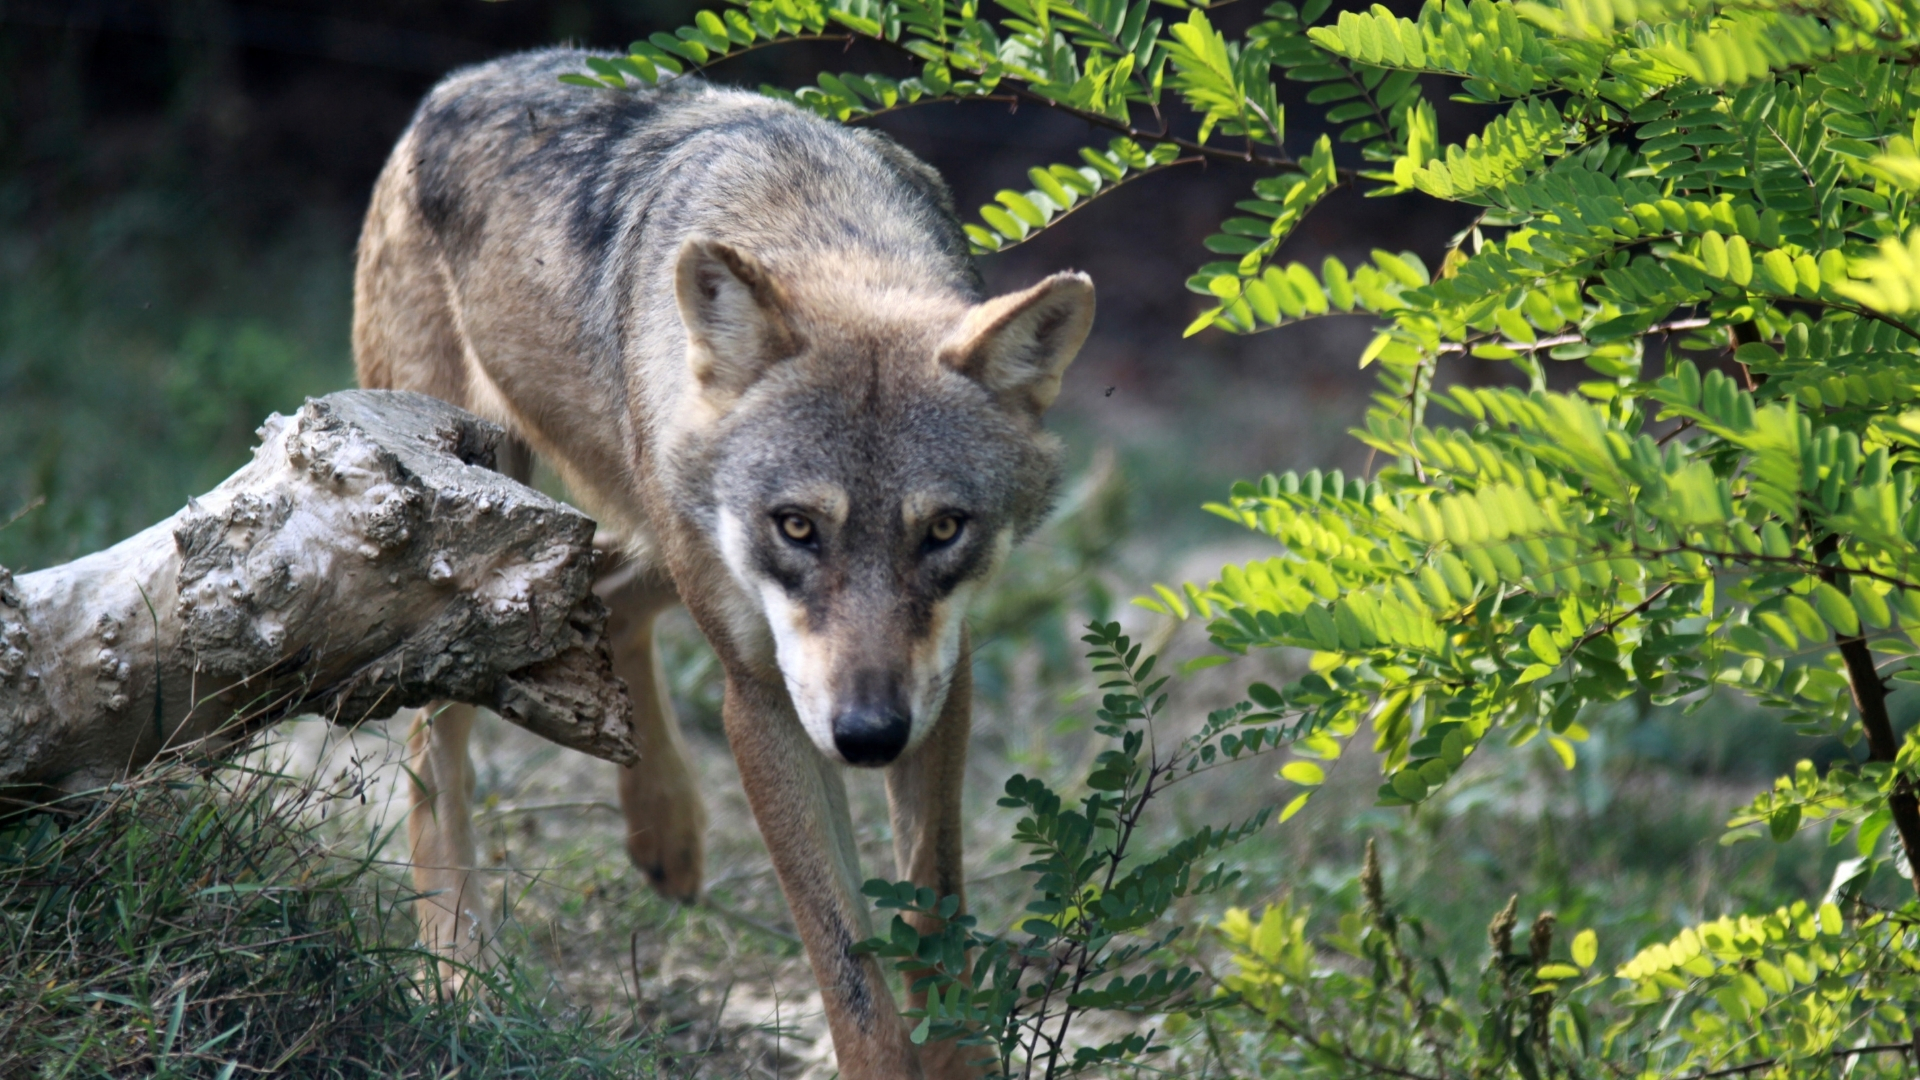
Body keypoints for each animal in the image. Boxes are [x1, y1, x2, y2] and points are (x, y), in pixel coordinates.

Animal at [353, 48, 1093, 1079]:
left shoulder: (944, 682)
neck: (815, 224)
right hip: (478, 524)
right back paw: (456, 968)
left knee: (614, 604)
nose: (869, 736)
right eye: (798, 527)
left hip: (661, 534)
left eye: (944, 530)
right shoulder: (763, 696)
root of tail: (458, 82)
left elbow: (936, 930)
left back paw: (664, 834)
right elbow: (851, 975)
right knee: (435, 752)